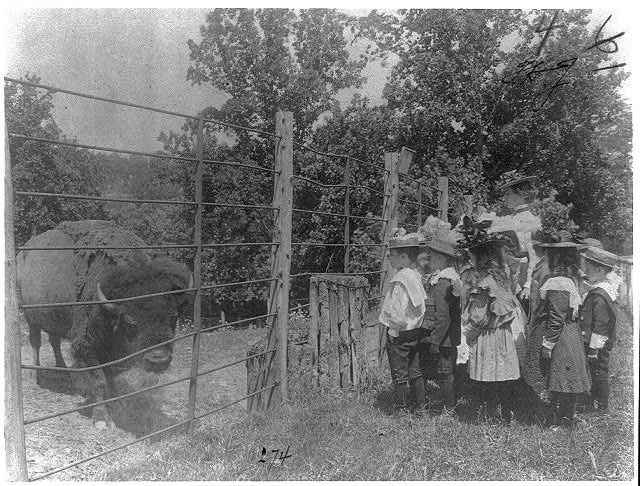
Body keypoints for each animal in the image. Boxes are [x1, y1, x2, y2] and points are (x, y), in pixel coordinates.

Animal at [17, 221, 192, 430]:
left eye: (173, 315)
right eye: (130, 320)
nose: (159, 360)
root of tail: (22, 253)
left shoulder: (110, 352)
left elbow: (111, 379)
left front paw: (117, 404)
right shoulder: (87, 346)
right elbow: (100, 380)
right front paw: (101, 419)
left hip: (55, 319)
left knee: (54, 341)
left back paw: (64, 371)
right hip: (30, 316)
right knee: (36, 342)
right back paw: (34, 375)